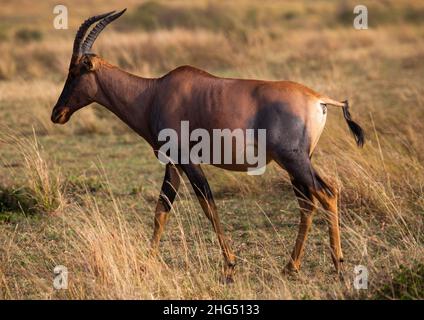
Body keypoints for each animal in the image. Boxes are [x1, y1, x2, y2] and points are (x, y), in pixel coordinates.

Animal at [52, 8, 364, 282]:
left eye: (75, 71)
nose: (57, 114)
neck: (154, 92)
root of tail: (318, 98)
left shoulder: (188, 160)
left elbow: (208, 205)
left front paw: (229, 265)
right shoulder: (173, 164)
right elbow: (161, 210)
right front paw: (145, 266)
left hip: (295, 160)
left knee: (327, 193)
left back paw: (337, 264)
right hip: (296, 163)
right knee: (308, 203)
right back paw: (291, 267)